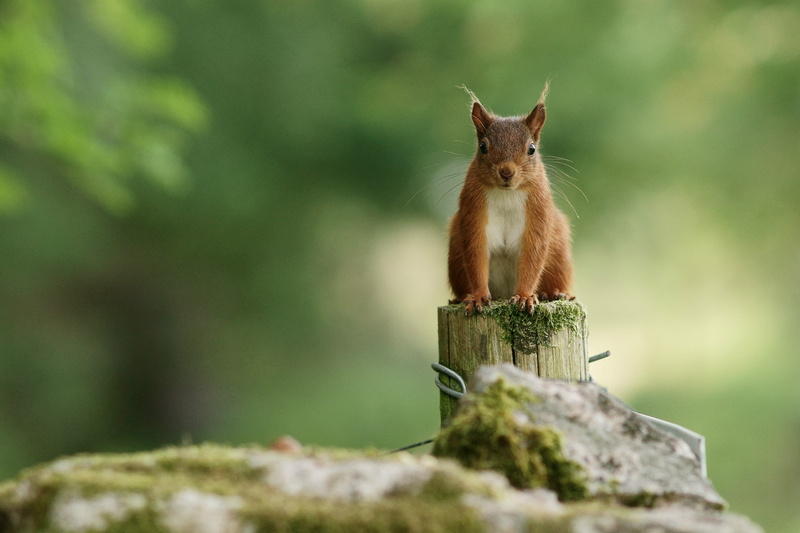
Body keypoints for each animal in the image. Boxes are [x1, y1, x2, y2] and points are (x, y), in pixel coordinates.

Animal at [447, 84, 574, 316]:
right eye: (483, 147)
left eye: (532, 149)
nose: (506, 172)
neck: (507, 193)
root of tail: (503, 293)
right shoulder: (473, 210)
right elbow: (475, 253)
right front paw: (478, 297)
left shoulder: (539, 211)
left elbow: (533, 254)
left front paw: (524, 296)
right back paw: (460, 298)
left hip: (559, 253)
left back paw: (554, 293)